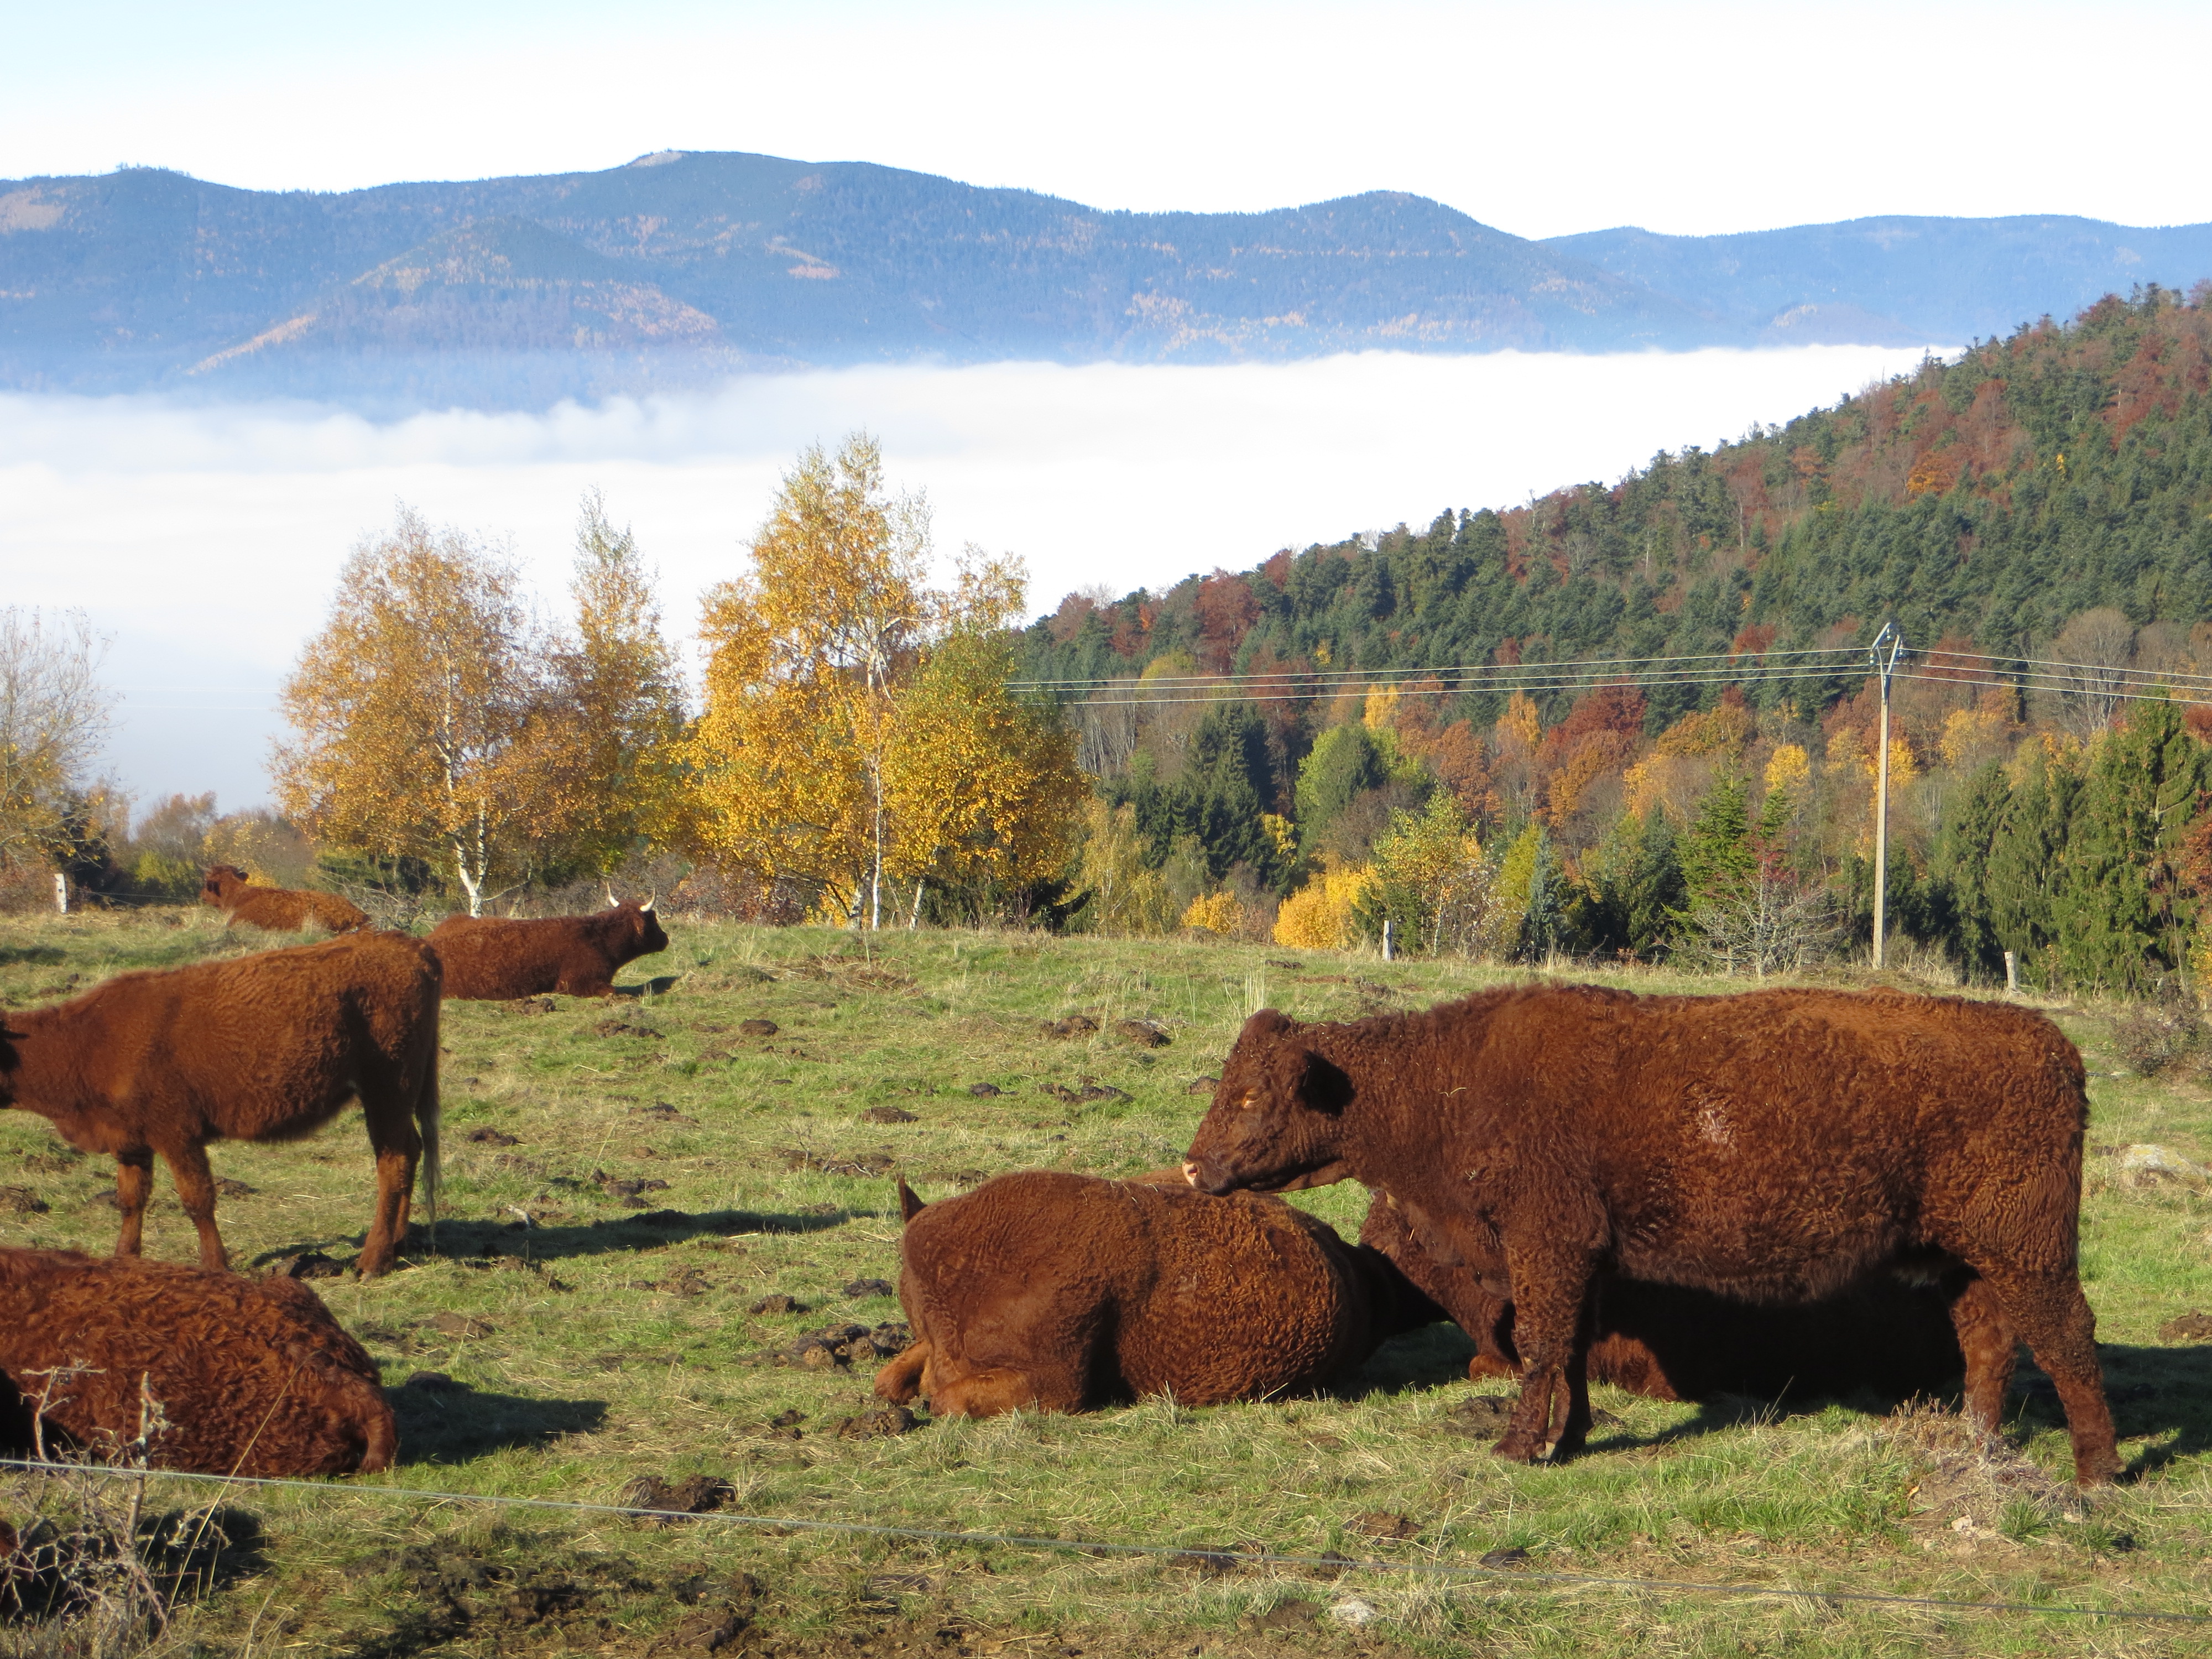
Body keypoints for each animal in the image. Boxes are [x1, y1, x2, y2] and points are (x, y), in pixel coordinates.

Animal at [0, 930, 441, 1278]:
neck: (88, 1039)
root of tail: (409, 945)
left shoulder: (177, 1134)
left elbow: (197, 1200)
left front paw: (215, 1265)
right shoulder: (131, 1142)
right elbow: (131, 1201)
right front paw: (124, 1259)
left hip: (388, 1092)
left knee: (394, 1163)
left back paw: (372, 1261)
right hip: (397, 1100)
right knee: (412, 1152)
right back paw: (398, 1245)